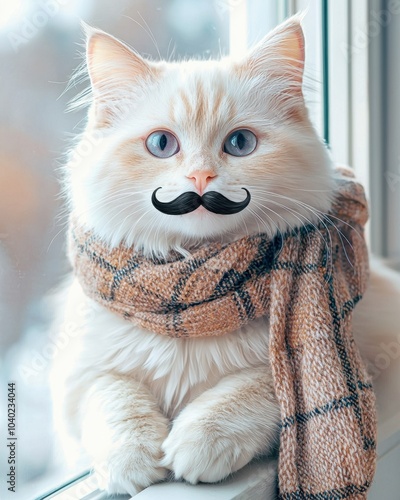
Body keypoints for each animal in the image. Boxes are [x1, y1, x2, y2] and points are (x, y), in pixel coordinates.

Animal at [51, 16, 400, 496]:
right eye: (162, 144)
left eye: (239, 143)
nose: (200, 177)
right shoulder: (82, 377)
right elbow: (113, 402)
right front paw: (134, 461)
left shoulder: (357, 357)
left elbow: (255, 390)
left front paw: (195, 446)